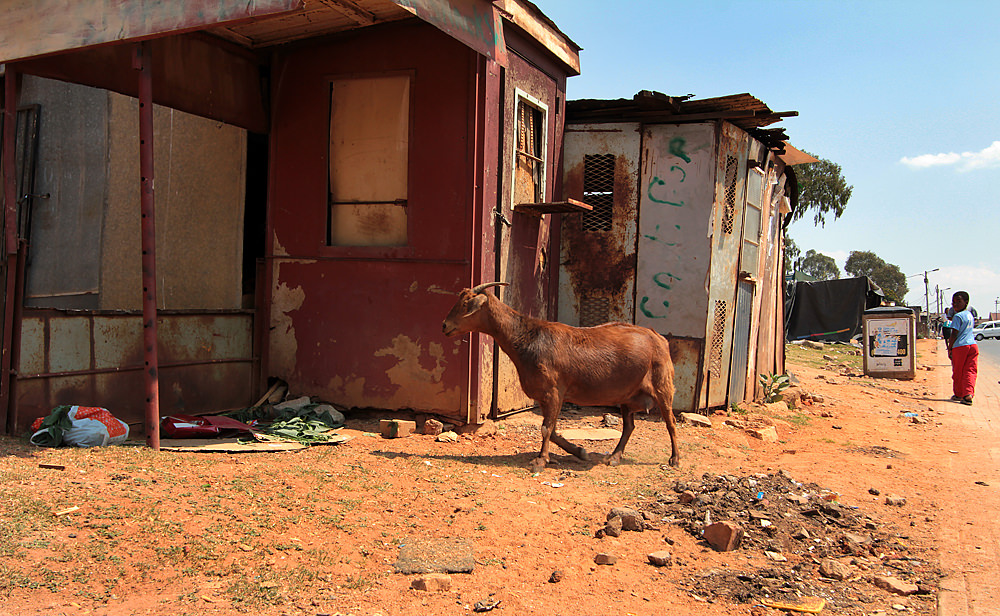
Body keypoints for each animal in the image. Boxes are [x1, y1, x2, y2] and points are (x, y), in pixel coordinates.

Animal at [442, 282, 678, 472]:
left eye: (466, 304)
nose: (445, 326)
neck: (530, 338)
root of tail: (658, 337)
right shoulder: (544, 396)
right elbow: (553, 430)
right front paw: (580, 451)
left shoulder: (554, 391)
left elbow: (546, 428)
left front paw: (541, 461)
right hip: (628, 397)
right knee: (629, 427)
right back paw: (614, 457)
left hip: (662, 386)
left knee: (670, 422)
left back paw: (675, 459)